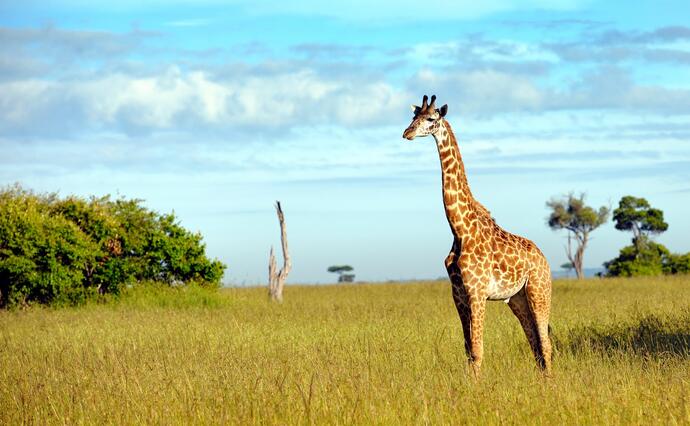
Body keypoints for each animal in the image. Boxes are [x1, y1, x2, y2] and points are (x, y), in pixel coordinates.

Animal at [400, 95, 552, 376]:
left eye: (431, 119)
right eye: (413, 117)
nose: (407, 133)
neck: (460, 229)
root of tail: (543, 258)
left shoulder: (477, 292)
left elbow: (478, 349)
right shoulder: (458, 294)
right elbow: (468, 348)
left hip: (539, 290)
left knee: (544, 343)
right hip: (517, 299)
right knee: (535, 343)